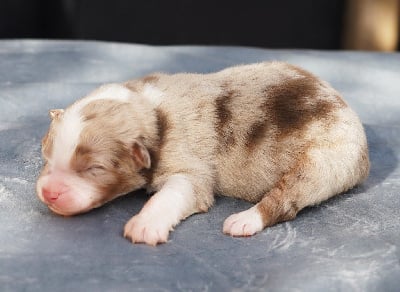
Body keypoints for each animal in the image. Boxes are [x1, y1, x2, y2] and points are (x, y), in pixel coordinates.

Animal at [36, 62, 370, 245]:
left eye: (95, 169)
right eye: (47, 158)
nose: (49, 193)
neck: (153, 113)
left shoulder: (189, 169)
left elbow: (171, 195)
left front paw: (144, 224)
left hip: (325, 160)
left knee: (287, 199)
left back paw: (245, 220)